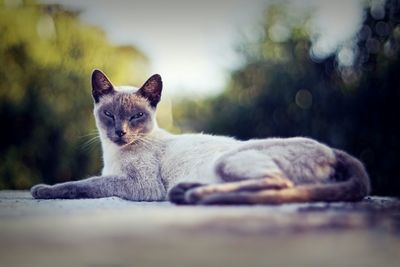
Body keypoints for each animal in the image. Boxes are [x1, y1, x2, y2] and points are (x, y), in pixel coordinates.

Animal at [29, 69, 370, 205]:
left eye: (136, 116)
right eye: (110, 115)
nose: (120, 132)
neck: (113, 155)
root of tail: (333, 150)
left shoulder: (141, 185)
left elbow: (84, 184)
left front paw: (42, 190)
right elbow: (89, 181)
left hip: (228, 161)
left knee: (278, 185)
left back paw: (193, 195)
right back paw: (187, 191)